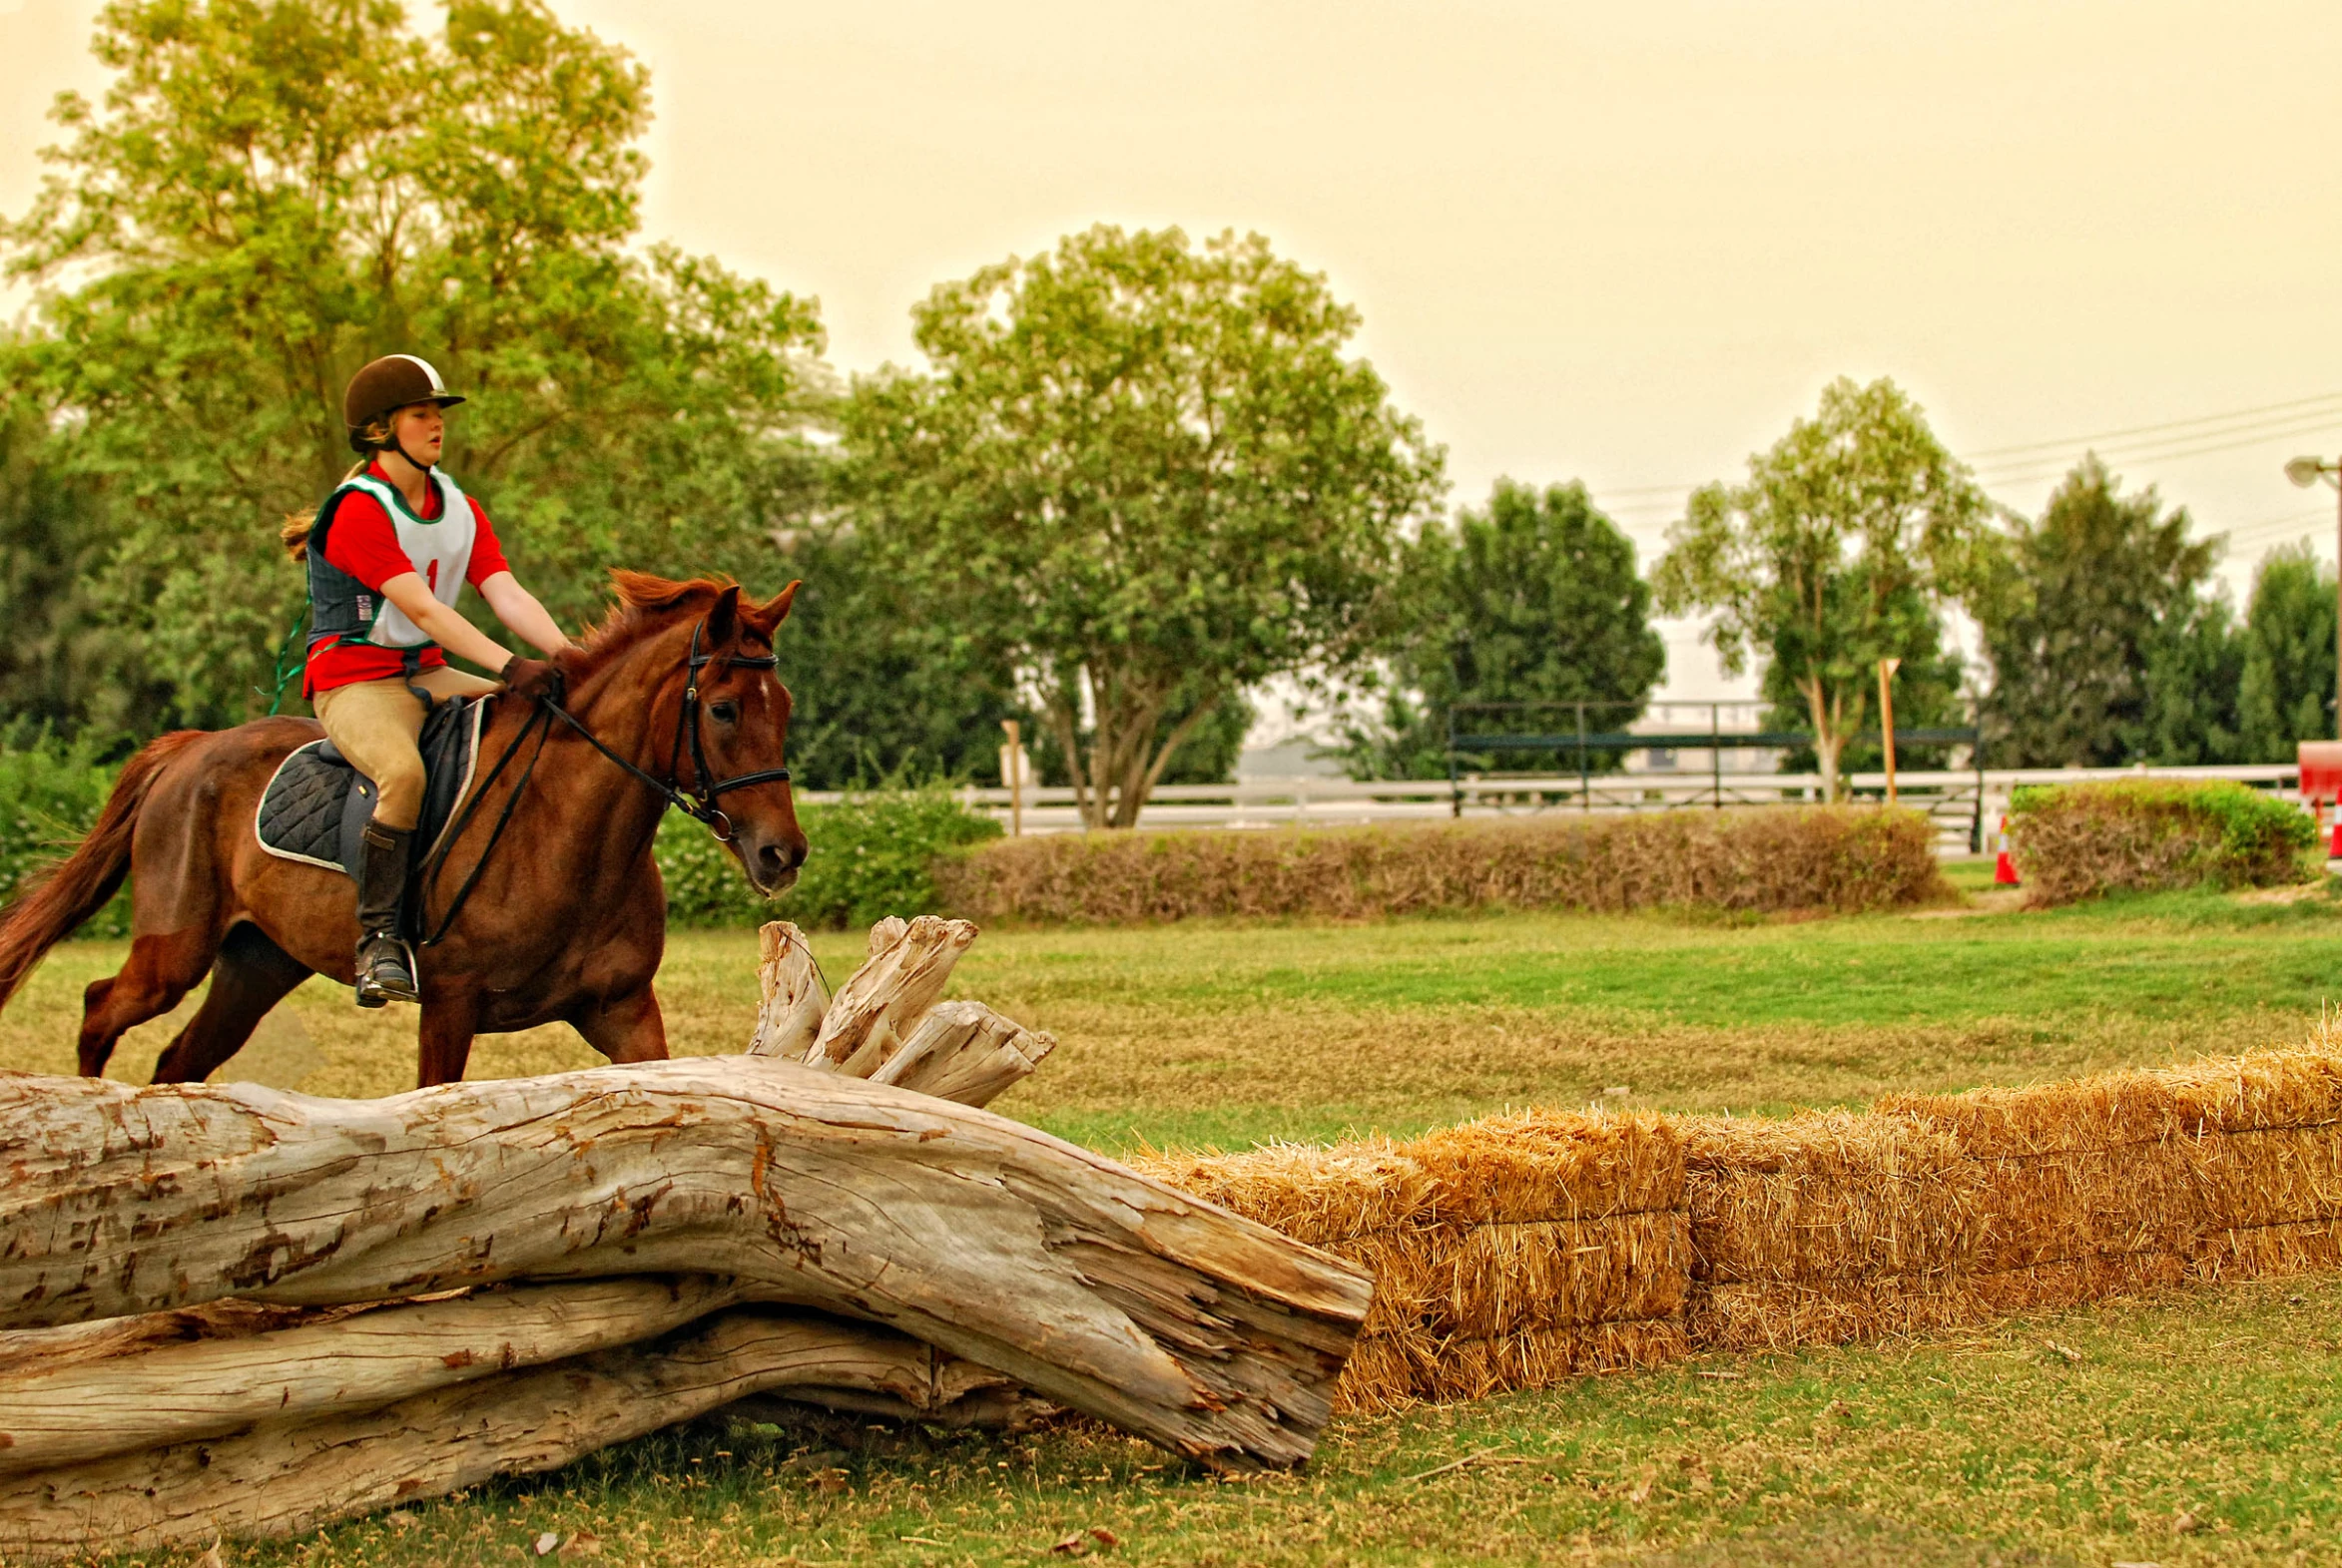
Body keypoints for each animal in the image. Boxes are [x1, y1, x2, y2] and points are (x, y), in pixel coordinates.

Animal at [0, 573, 810, 1095]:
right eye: (724, 709)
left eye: (786, 704)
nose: (783, 853)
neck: (569, 835)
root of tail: (191, 748)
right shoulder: (450, 1006)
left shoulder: (624, 1010)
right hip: (173, 953)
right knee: (101, 1009)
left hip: (256, 965)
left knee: (178, 1064)